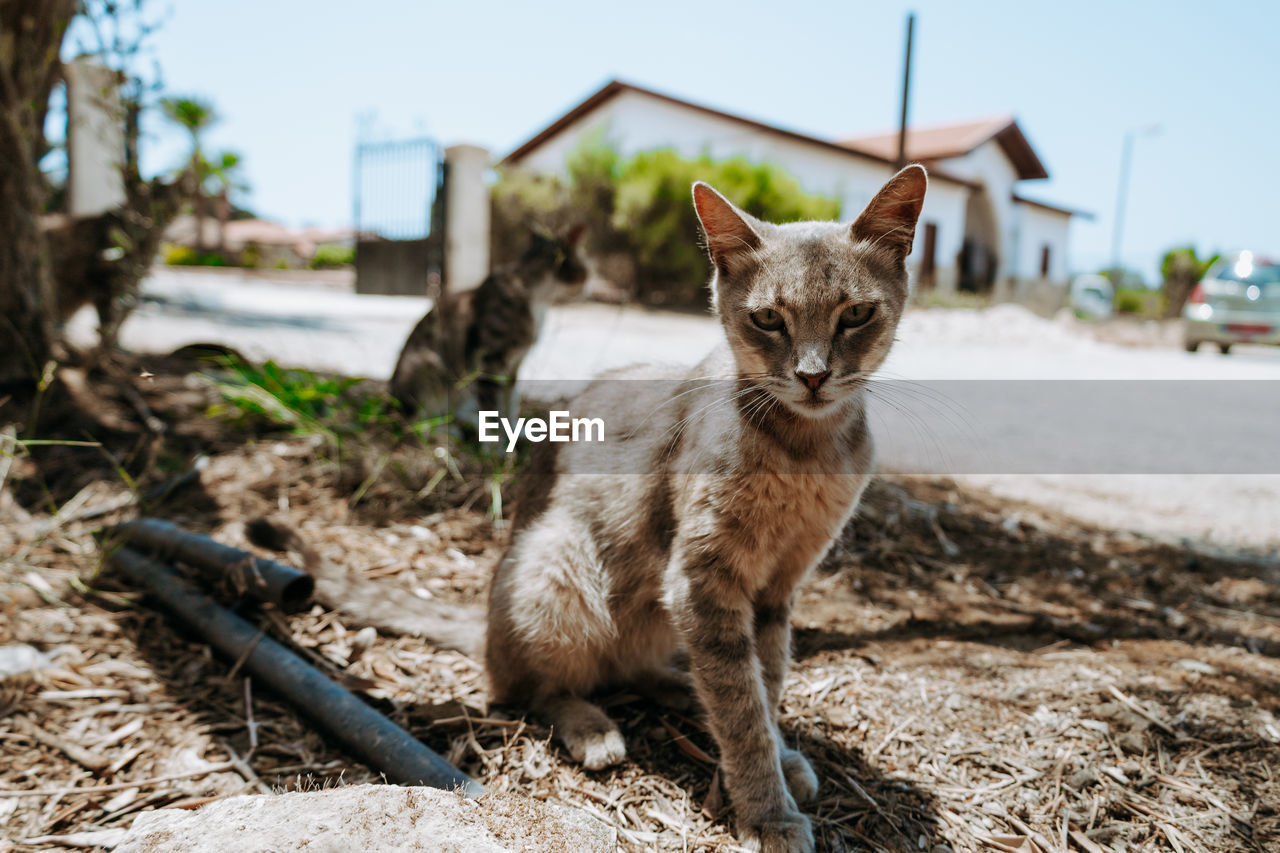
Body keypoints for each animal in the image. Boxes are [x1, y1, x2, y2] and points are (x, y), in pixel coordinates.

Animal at [389, 225, 588, 422]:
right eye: (587, 266)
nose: (588, 284)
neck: (537, 301)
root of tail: (391, 397)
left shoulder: (514, 366)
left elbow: (510, 407)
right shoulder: (490, 363)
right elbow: (493, 415)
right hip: (431, 366)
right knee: (422, 419)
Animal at [483, 162, 926, 845]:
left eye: (855, 313)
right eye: (768, 318)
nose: (813, 375)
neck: (804, 454)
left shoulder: (776, 587)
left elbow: (763, 686)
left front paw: (777, 759)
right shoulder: (701, 580)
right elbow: (742, 707)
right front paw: (768, 813)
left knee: (639, 669)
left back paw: (679, 687)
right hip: (555, 564)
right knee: (538, 687)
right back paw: (595, 729)